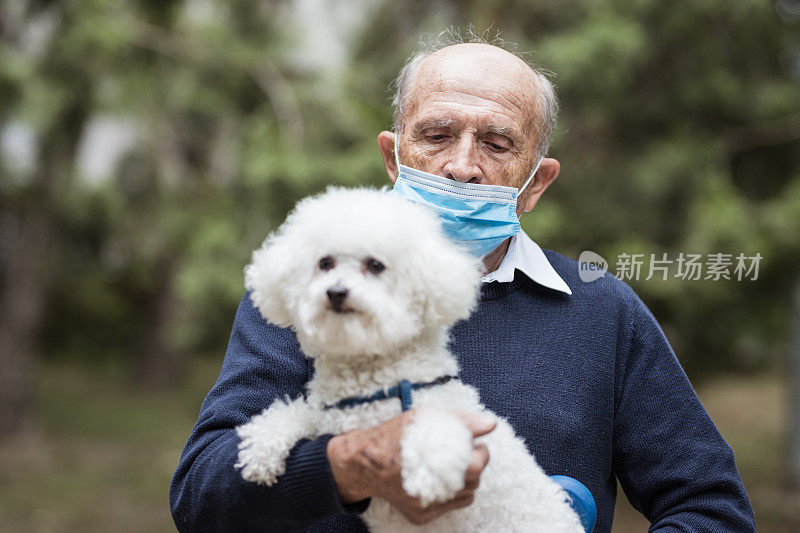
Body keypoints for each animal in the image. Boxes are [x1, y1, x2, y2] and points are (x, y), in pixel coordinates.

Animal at [236, 187, 580, 532]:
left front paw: (427, 473)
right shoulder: (329, 421)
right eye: (325, 263)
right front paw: (261, 447)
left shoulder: (448, 416)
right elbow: (292, 413)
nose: (335, 292)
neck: (370, 379)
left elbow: (435, 426)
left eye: (376, 265)